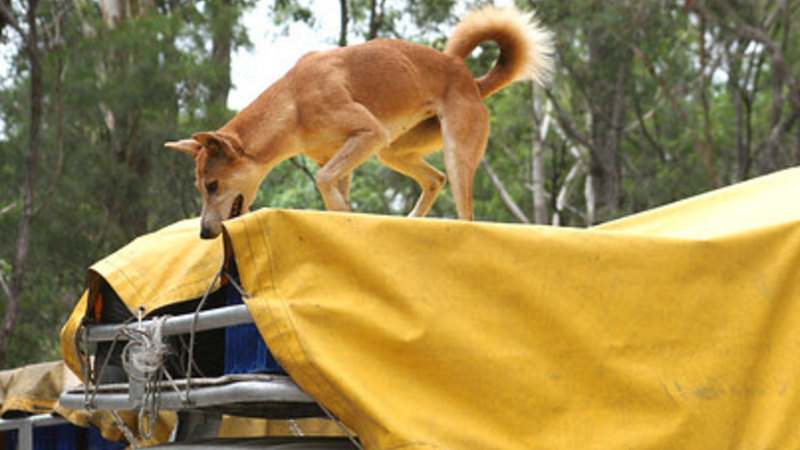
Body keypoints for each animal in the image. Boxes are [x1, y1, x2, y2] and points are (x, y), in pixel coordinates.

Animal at [166, 6, 552, 239]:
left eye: (212, 185)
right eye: (200, 188)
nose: (203, 232)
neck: (293, 105)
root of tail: (471, 80)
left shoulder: (368, 133)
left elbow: (322, 180)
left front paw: (343, 211)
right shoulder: (346, 156)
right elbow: (329, 182)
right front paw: (343, 216)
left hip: (452, 150)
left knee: (464, 208)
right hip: (393, 150)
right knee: (434, 179)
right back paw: (411, 220)